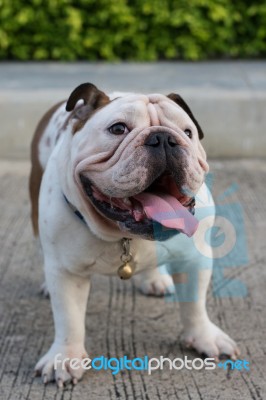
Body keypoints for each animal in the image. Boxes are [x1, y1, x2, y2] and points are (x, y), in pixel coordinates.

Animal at [29, 83, 239, 386]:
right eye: (118, 129)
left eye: (187, 132)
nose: (164, 138)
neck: (121, 235)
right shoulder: (66, 272)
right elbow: (69, 318)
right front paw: (65, 358)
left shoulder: (195, 261)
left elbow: (195, 303)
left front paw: (204, 337)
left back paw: (155, 279)